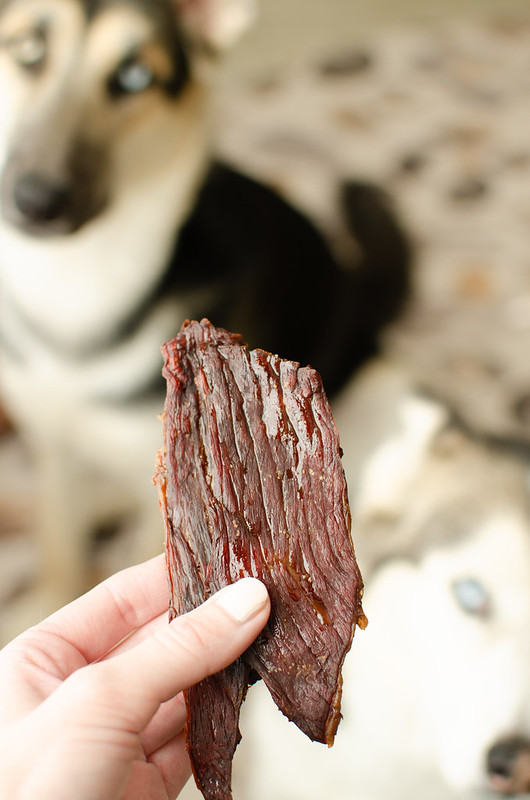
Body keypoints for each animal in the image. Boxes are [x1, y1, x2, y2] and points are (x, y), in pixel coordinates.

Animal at [0, 0, 408, 624]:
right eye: (27, 48)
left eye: (135, 76)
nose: (36, 202)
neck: (79, 285)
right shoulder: (51, 442)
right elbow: (58, 541)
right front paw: (46, 602)